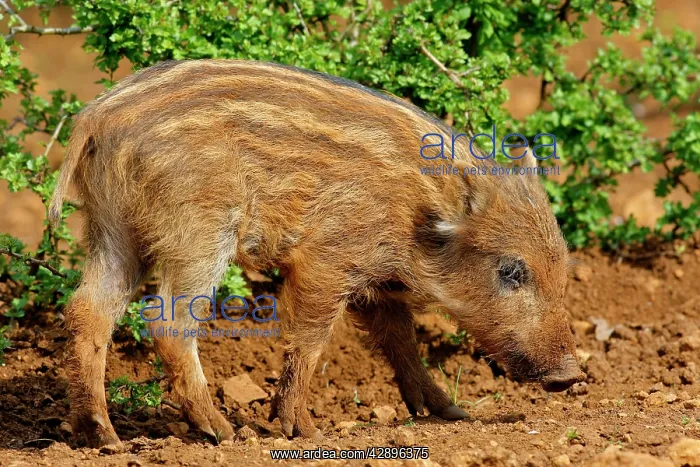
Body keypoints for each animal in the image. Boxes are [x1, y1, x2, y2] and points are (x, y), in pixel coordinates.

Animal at [49, 59, 585, 448]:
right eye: (511, 271)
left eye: (562, 271)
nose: (572, 376)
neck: (419, 214)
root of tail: (97, 117)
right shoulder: (326, 260)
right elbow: (310, 339)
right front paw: (304, 431)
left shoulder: (380, 283)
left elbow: (401, 340)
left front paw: (452, 413)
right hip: (198, 234)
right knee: (166, 321)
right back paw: (223, 433)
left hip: (113, 231)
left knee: (87, 312)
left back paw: (103, 437)